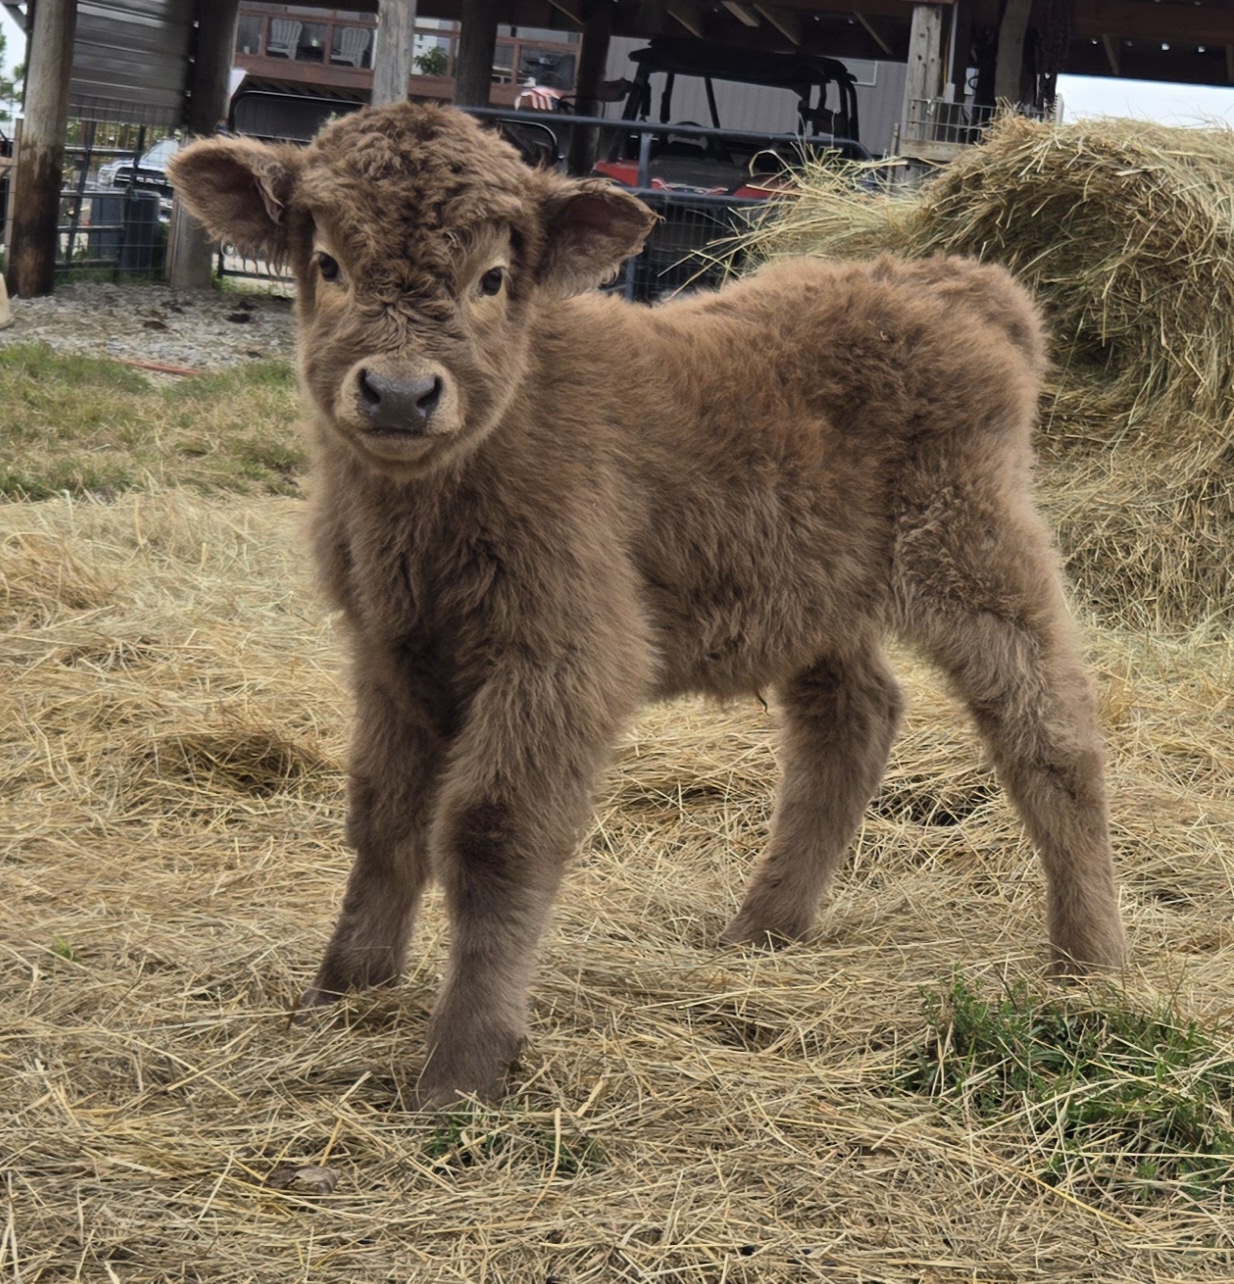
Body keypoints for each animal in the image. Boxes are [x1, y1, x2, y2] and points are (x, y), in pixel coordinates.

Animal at [170, 102, 1124, 1104]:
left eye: (493, 278)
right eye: (327, 263)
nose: (400, 392)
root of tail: (951, 279)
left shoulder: (565, 654)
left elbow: (494, 833)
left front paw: (462, 1069)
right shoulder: (390, 651)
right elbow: (384, 815)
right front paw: (342, 992)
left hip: (974, 553)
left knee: (1051, 731)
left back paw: (1092, 963)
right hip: (813, 591)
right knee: (853, 716)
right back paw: (762, 930)